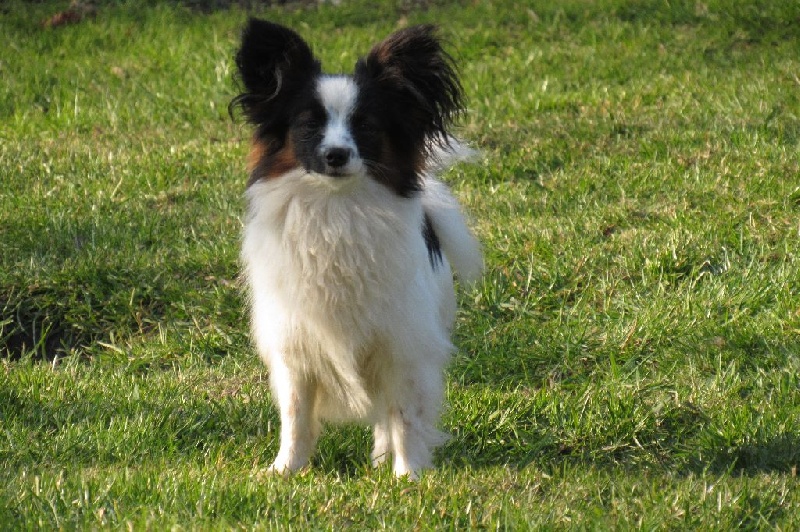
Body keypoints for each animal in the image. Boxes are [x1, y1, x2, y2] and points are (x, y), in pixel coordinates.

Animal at [230, 19, 482, 478]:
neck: (336, 209)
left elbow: (405, 415)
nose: (335, 155)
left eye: (365, 126)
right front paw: (285, 471)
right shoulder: (295, 345)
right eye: (309, 125)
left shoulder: (403, 343)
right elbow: (295, 416)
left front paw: (408, 476)